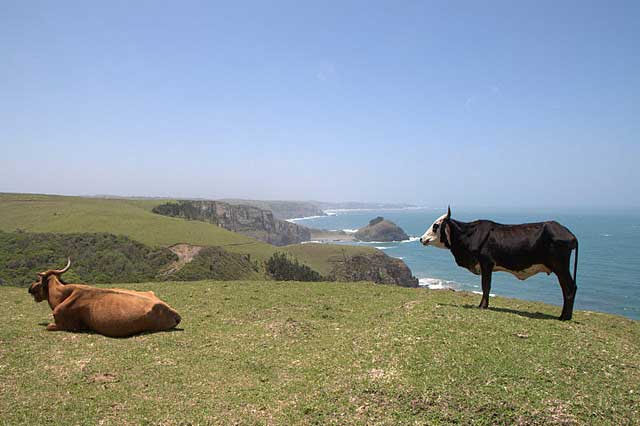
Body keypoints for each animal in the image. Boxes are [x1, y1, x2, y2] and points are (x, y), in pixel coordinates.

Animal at [28, 258, 180, 338]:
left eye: (37, 280)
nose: (29, 289)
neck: (63, 295)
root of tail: (174, 312)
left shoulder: (68, 325)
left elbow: (49, 326)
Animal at [420, 206, 580, 320]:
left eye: (436, 225)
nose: (422, 239)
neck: (469, 235)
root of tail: (569, 233)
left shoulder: (486, 264)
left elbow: (486, 286)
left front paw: (482, 306)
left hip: (561, 267)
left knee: (569, 288)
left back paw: (564, 317)